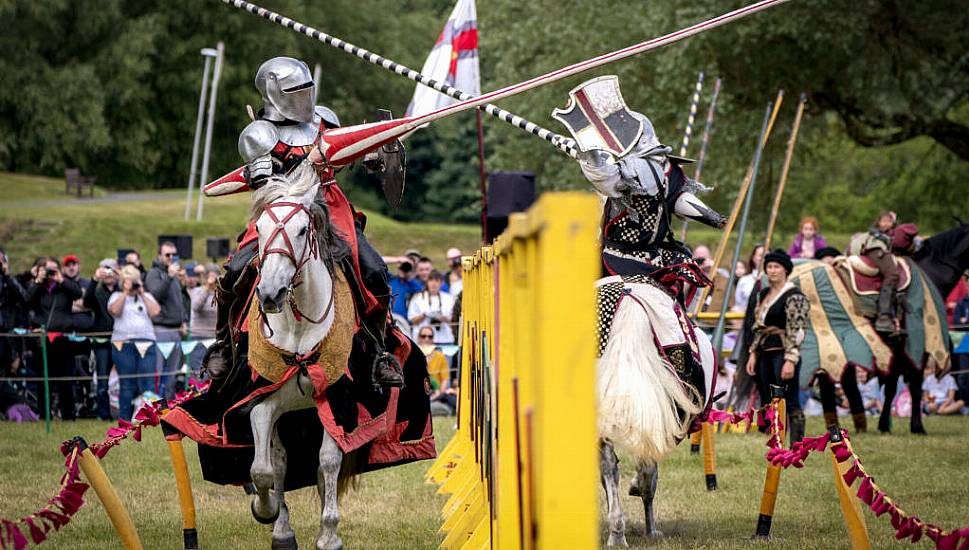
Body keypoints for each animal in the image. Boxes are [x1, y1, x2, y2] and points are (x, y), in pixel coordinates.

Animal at [248, 166, 354, 550]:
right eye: (259, 229)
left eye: (301, 229)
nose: (270, 293)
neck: (297, 324)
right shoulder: (269, 398)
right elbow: (265, 468)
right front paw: (265, 510)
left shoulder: (334, 398)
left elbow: (328, 461)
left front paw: (329, 534)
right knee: (280, 461)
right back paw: (281, 529)